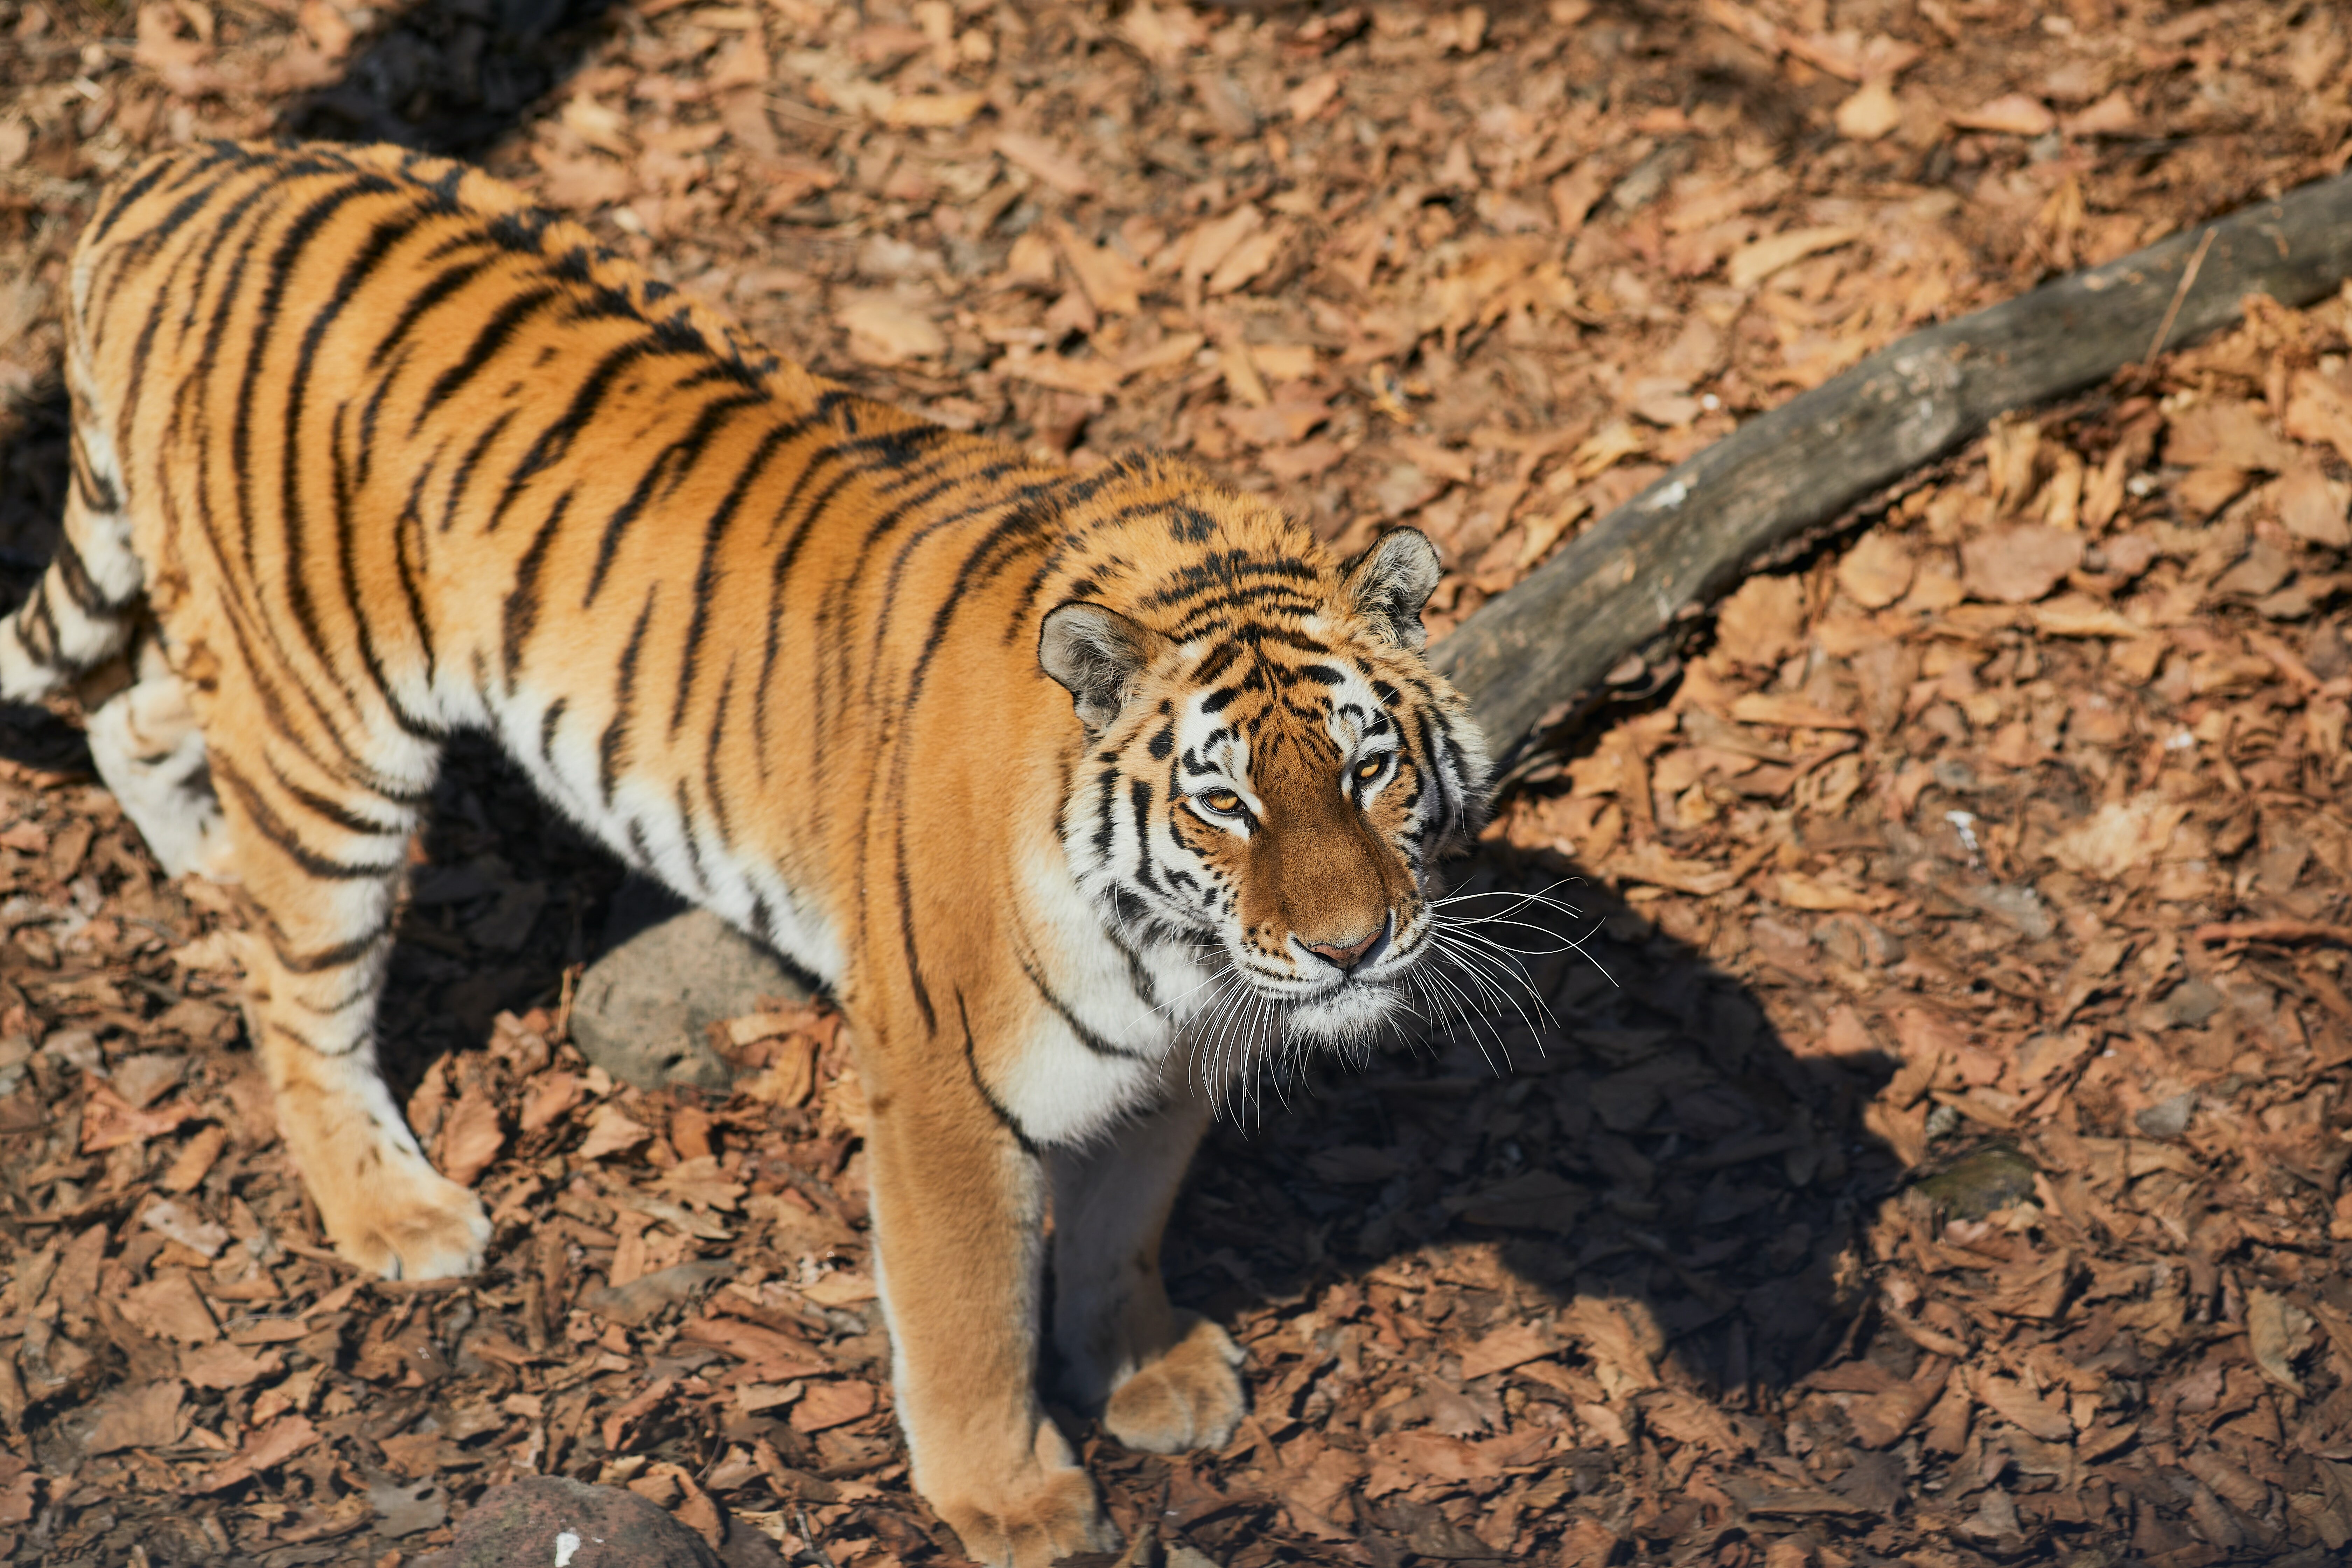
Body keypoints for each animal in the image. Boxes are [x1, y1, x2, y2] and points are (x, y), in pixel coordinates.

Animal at [0, 141, 1496, 1561]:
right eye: (1223, 803)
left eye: (1367, 768)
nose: (1349, 946)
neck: (1176, 954)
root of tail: (187, 168)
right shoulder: (944, 1085)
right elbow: (969, 1316)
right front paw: (1009, 1499)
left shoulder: (1172, 1066)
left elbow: (1122, 1228)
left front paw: (1143, 1371)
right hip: (328, 728)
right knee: (291, 979)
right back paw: (395, 1214)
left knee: (130, 706)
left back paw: (203, 856)